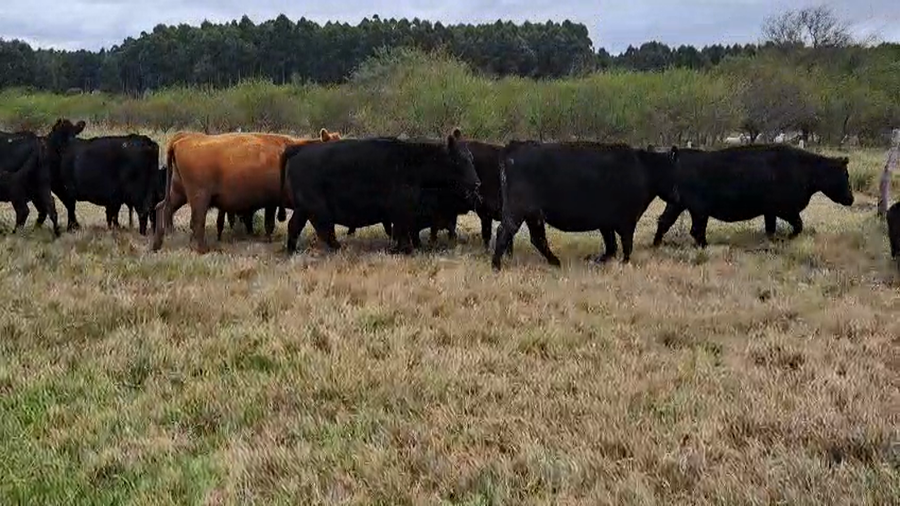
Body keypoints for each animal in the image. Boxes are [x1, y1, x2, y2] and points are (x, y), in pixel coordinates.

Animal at [151, 128, 342, 253]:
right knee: (196, 221)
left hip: (178, 192)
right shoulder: (276, 202)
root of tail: (182, 140)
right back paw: (203, 248)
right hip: (199, 197)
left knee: (163, 208)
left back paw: (159, 242)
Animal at [277, 129, 480, 255]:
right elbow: (402, 231)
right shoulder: (401, 210)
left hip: (304, 209)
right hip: (314, 207)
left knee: (297, 226)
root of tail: (297, 149)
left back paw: (294, 250)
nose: (477, 183)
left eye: (471, 158)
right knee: (319, 229)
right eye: (458, 160)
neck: (414, 163)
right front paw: (405, 249)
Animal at [491, 141, 680, 271]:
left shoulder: (607, 222)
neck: (645, 169)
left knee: (538, 238)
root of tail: (515, 146)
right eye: (673, 172)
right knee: (504, 231)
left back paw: (555, 262)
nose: (678, 196)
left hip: (533, 214)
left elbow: (611, 245)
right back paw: (496, 266)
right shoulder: (627, 220)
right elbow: (626, 244)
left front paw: (600, 260)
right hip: (518, 211)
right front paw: (624, 263)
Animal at [651, 144, 855, 248]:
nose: (851, 199)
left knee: (664, 221)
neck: (806, 169)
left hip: (677, 205)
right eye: (845, 174)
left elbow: (771, 229)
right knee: (695, 231)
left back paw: (656, 244)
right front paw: (786, 238)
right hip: (699, 211)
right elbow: (798, 226)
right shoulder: (786, 210)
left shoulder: (770, 212)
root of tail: (677, 155)